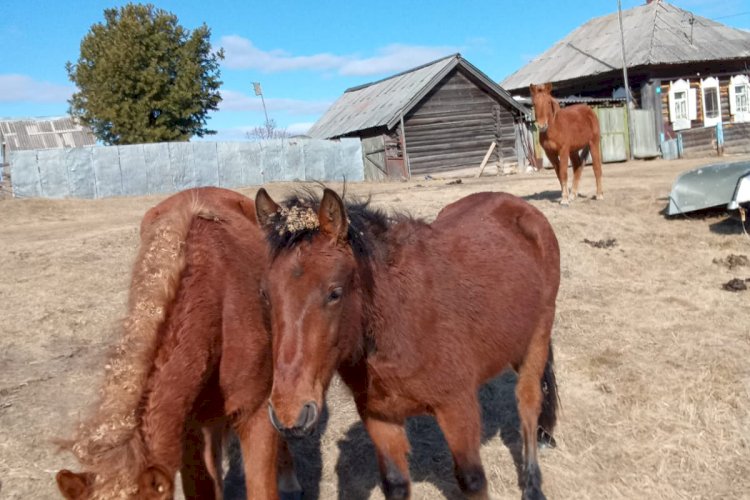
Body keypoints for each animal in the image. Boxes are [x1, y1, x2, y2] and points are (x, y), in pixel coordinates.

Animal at [256, 188, 560, 500]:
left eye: (335, 293)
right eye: (265, 294)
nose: (290, 414)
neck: (398, 320)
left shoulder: (457, 407)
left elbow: (472, 479)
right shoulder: (380, 417)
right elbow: (396, 483)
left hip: (537, 336)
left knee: (528, 402)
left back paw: (533, 485)